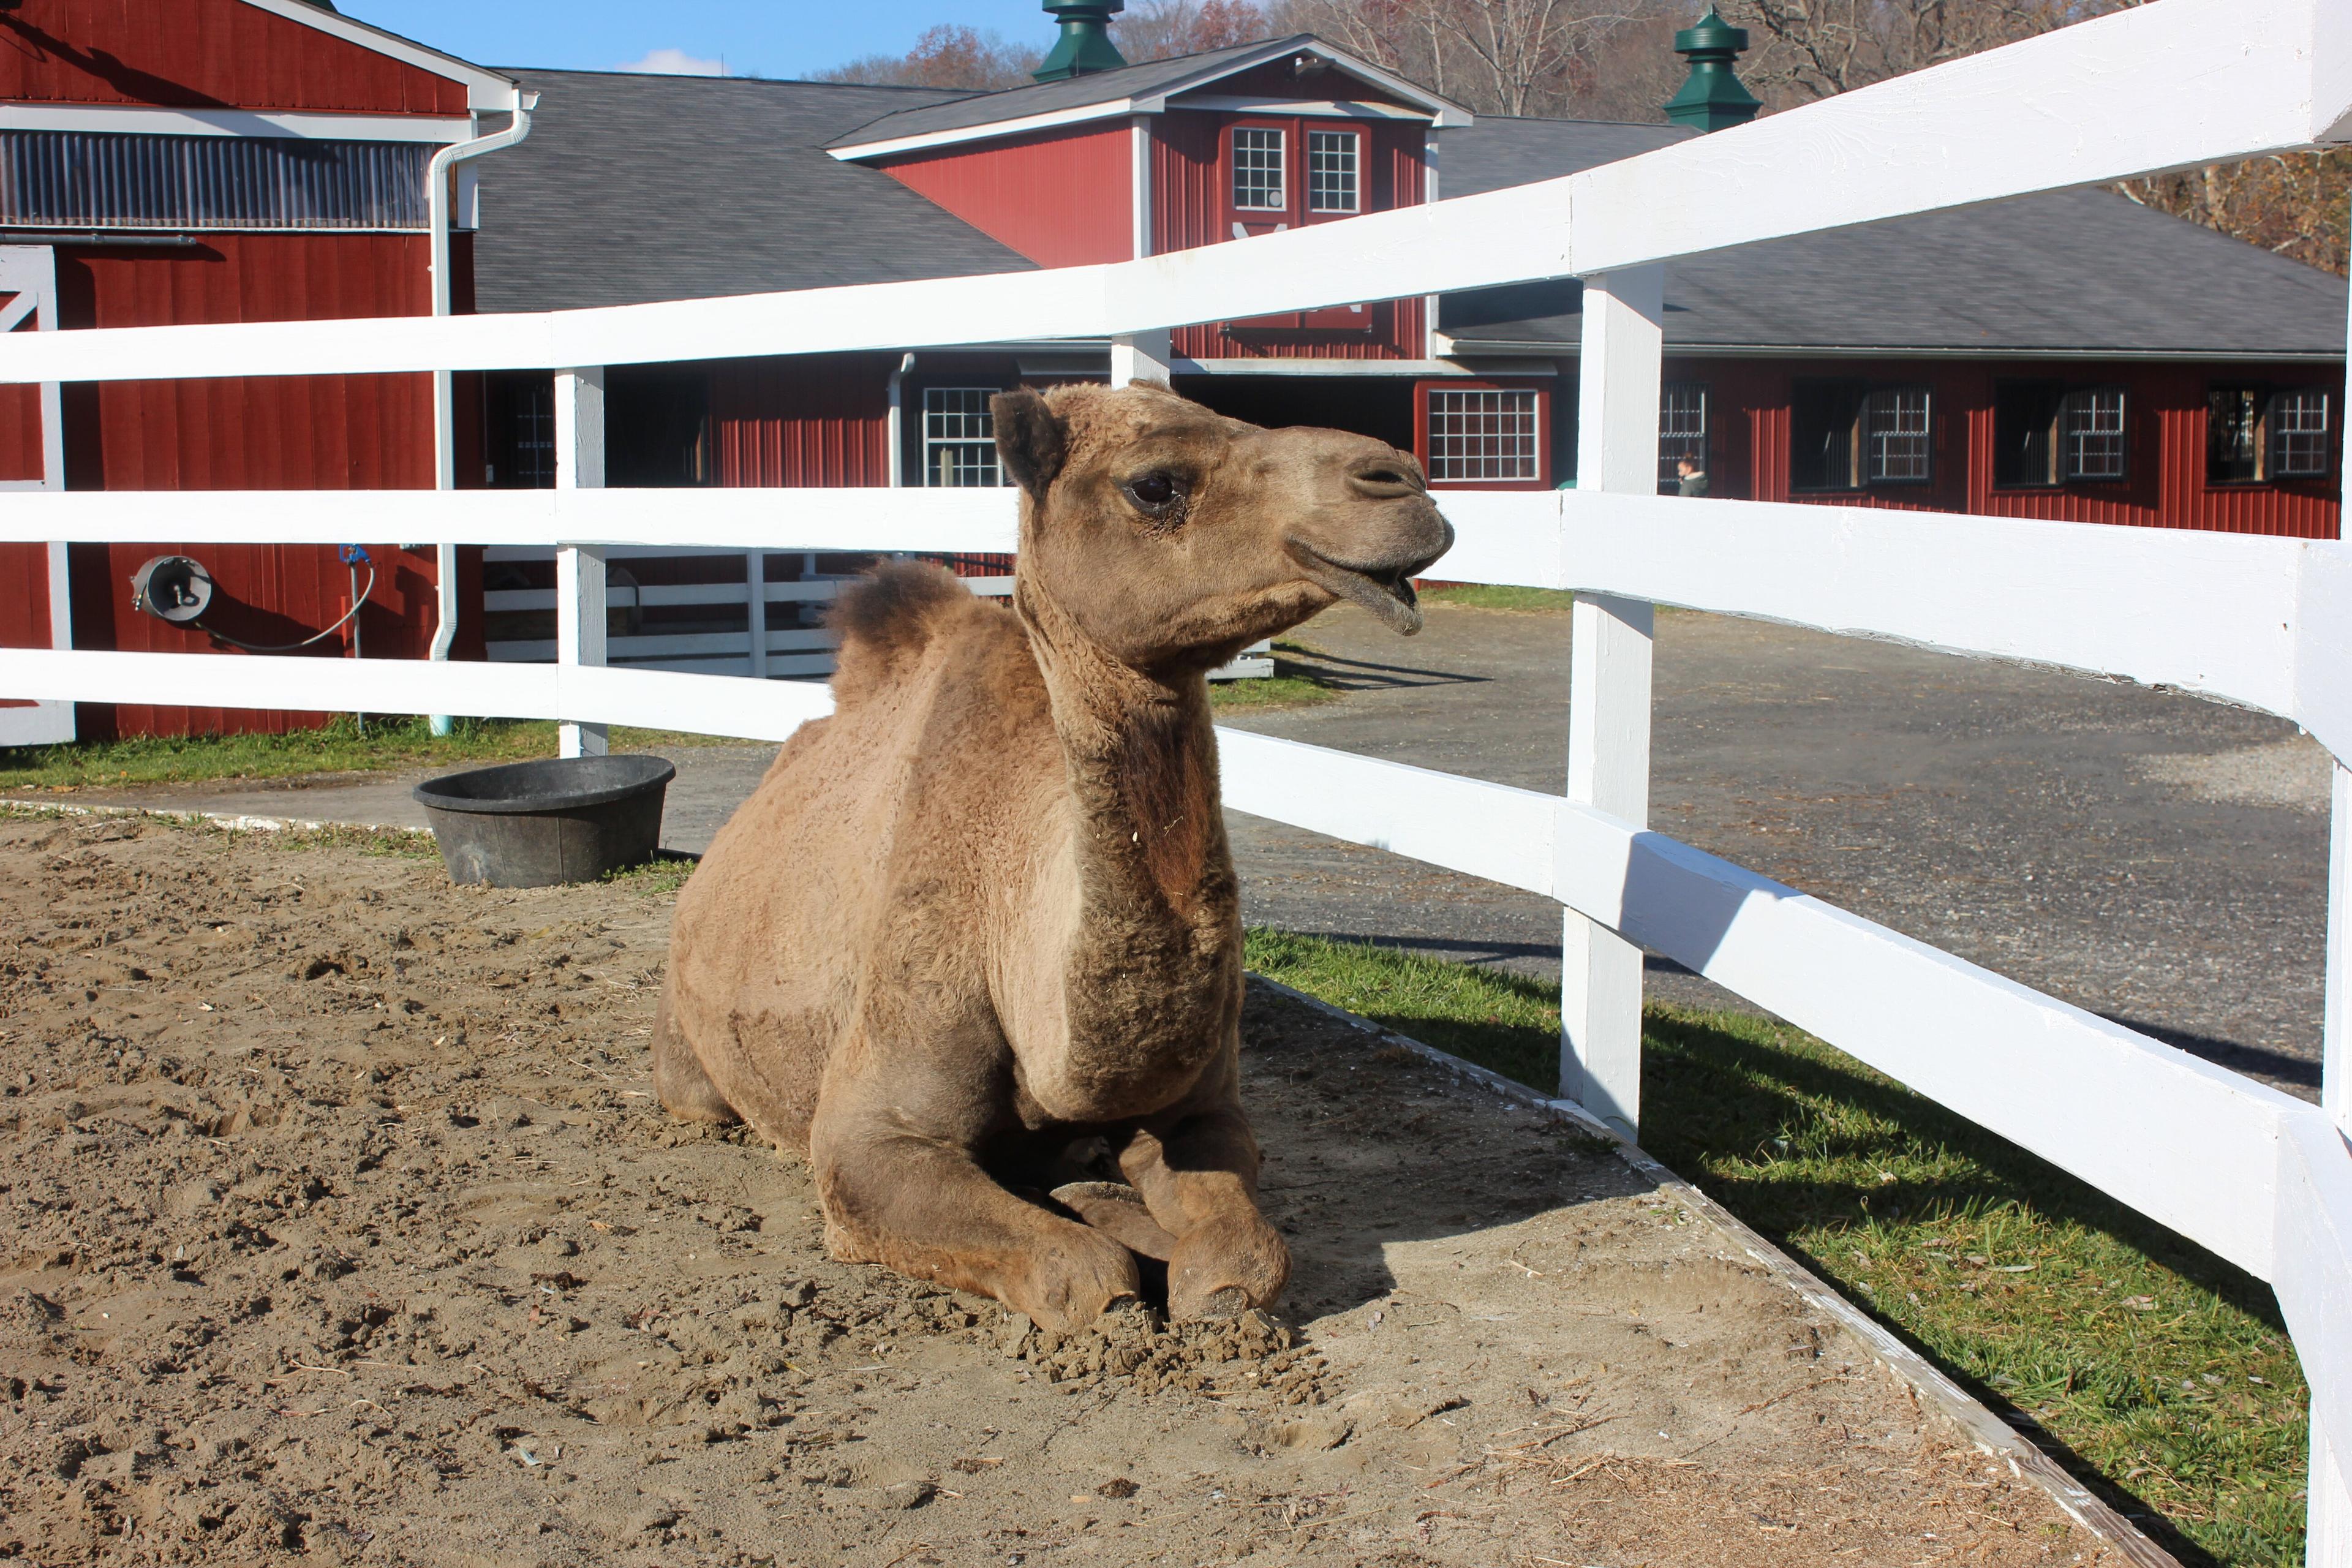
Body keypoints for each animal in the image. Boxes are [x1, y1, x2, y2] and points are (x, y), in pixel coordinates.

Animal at [649, 380, 1449, 1325]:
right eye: (1154, 484)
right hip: (687, 1056)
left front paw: (1164, 1247)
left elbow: (1243, 1255)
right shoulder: (869, 1134)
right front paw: (1111, 1269)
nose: (1402, 482)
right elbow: (1084, 1277)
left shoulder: (1203, 1112)